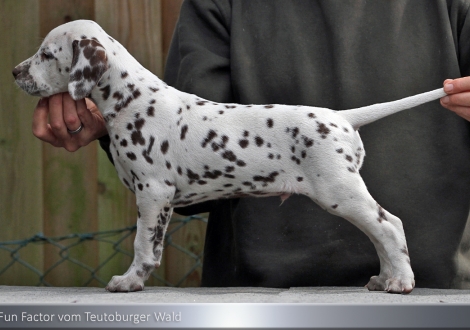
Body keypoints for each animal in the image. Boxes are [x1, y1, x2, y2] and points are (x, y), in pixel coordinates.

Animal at [12, 20, 448, 294]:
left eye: (46, 54)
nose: (16, 72)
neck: (132, 99)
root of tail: (341, 117)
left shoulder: (153, 193)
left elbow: (142, 246)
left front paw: (129, 282)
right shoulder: (159, 199)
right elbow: (151, 247)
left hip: (340, 191)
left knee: (389, 226)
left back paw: (400, 282)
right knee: (380, 232)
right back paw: (385, 278)